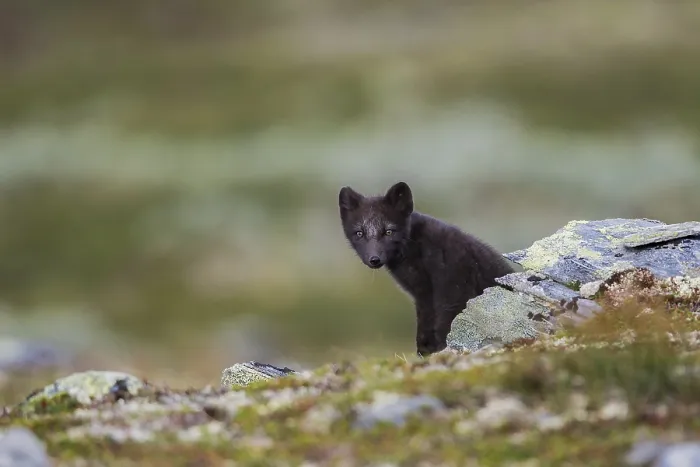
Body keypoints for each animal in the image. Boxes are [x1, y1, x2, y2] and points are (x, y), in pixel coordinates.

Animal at [338, 181, 515, 357]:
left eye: (388, 231)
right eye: (359, 233)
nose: (374, 259)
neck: (415, 250)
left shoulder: (453, 286)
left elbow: (445, 323)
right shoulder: (423, 295)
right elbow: (425, 326)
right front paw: (425, 352)